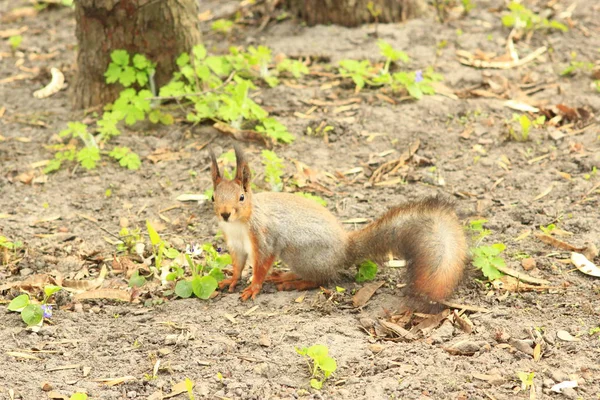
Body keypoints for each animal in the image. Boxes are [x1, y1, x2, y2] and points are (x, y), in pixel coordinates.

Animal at [210, 145, 468, 310]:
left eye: (241, 197)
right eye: (213, 197)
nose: (225, 214)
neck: (239, 225)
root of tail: (345, 248)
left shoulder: (264, 238)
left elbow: (261, 266)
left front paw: (253, 287)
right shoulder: (236, 245)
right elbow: (238, 265)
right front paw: (231, 281)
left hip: (300, 253)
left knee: (321, 279)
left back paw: (293, 282)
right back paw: (284, 275)